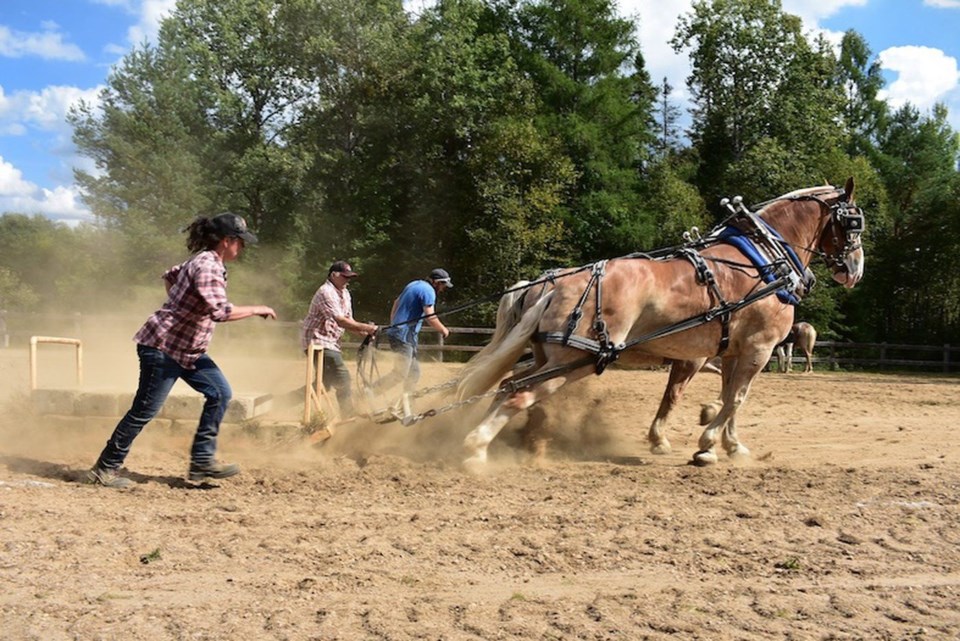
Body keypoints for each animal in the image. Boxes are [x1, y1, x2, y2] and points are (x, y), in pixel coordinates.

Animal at [454, 178, 868, 468]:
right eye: (854, 225)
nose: (855, 270)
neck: (763, 260)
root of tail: (554, 284)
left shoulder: (732, 351)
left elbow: (728, 398)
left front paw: (731, 445)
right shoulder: (759, 347)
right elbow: (734, 397)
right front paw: (706, 445)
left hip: (550, 357)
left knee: (508, 385)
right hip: (576, 361)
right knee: (518, 392)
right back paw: (475, 449)